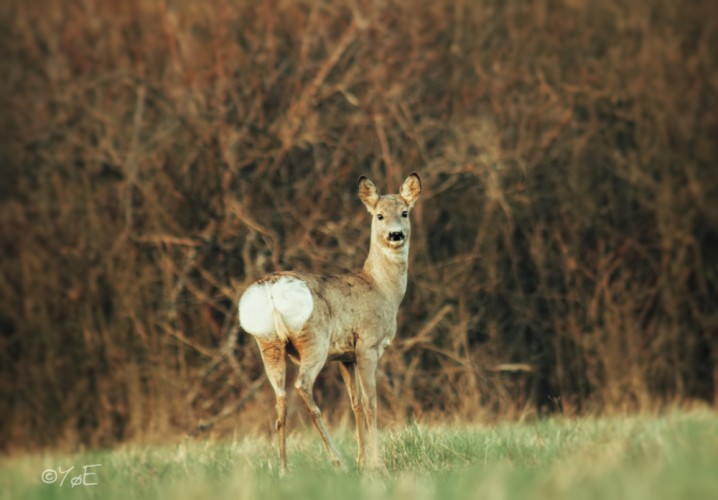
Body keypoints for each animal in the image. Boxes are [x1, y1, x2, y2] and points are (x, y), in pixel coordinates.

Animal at [239, 172, 422, 472]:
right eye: (379, 215)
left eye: (404, 212)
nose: (396, 235)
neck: (382, 288)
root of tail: (272, 291)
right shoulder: (368, 345)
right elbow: (370, 403)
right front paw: (376, 465)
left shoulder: (345, 356)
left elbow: (355, 403)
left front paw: (362, 462)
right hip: (314, 338)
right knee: (302, 386)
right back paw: (337, 460)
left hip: (268, 342)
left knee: (280, 398)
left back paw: (284, 469)